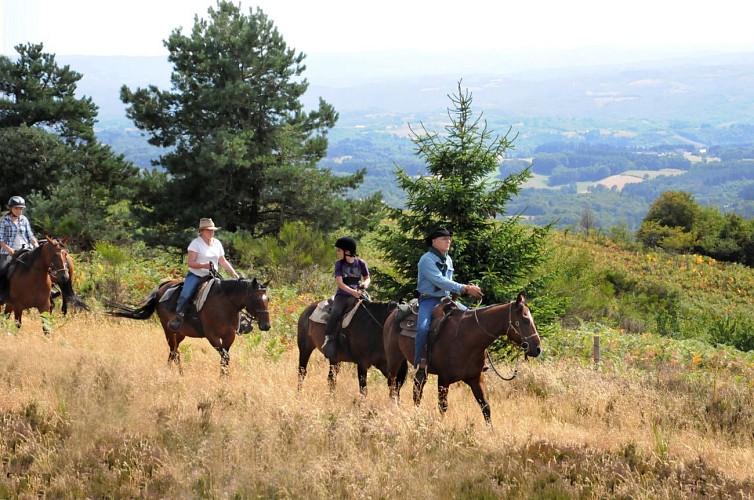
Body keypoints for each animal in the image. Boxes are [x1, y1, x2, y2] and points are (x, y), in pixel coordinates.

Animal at [106, 278, 270, 376]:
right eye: (256, 299)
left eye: (267, 299)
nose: (266, 325)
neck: (225, 305)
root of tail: (163, 286)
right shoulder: (212, 336)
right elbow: (225, 356)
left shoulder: (229, 336)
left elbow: (225, 358)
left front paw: (224, 378)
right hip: (168, 329)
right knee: (174, 351)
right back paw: (176, 373)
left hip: (180, 333)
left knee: (174, 351)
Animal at [382, 292, 540, 426]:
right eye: (525, 319)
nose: (537, 348)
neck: (467, 337)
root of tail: (393, 313)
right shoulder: (443, 379)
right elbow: (443, 406)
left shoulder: (476, 378)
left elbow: (485, 406)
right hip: (394, 360)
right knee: (392, 388)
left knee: (417, 390)